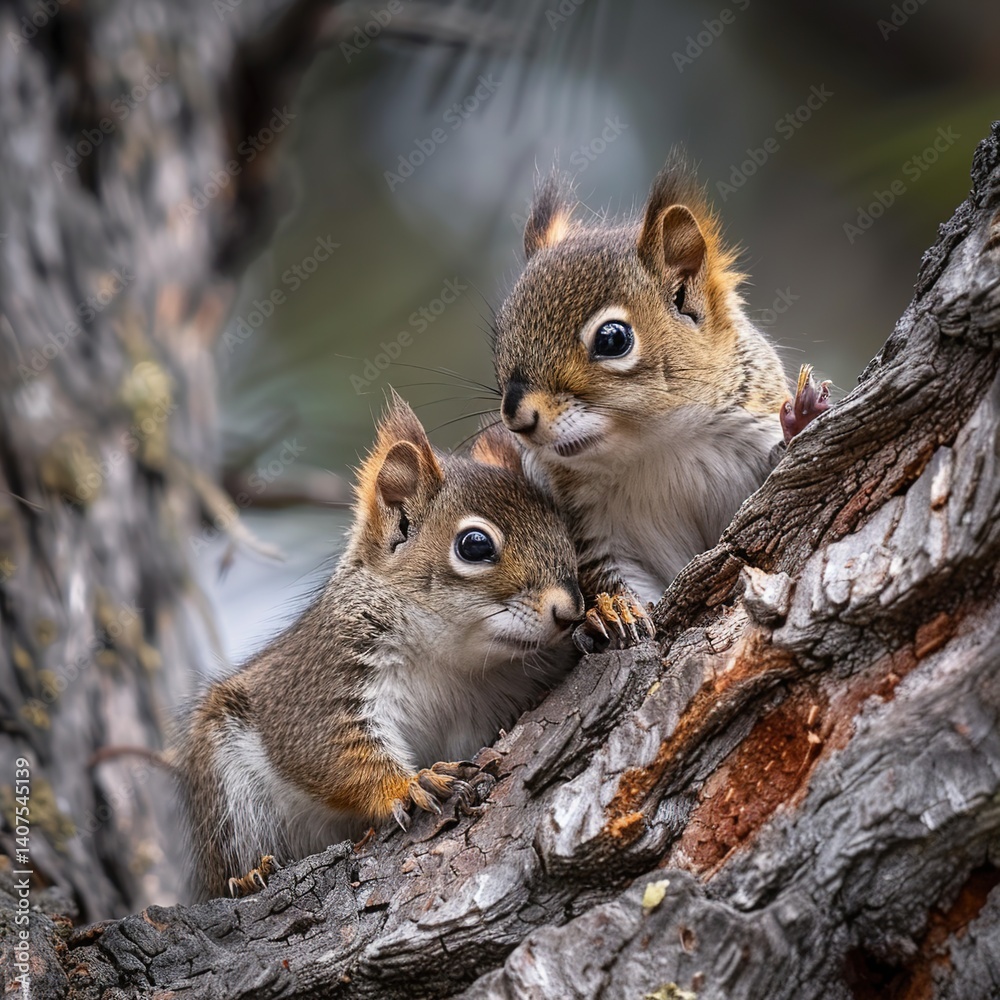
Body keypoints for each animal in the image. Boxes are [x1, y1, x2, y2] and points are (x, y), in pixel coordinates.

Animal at [176, 393, 584, 899]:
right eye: (474, 545)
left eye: (563, 525)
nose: (570, 610)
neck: (448, 657)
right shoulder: (322, 680)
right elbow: (328, 751)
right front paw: (407, 786)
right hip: (227, 785)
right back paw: (249, 875)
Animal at [492, 154, 829, 649]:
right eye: (499, 337)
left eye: (613, 339)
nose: (517, 417)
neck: (658, 444)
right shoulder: (593, 528)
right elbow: (616, 577)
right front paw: (611, 610)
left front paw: (801, 419)